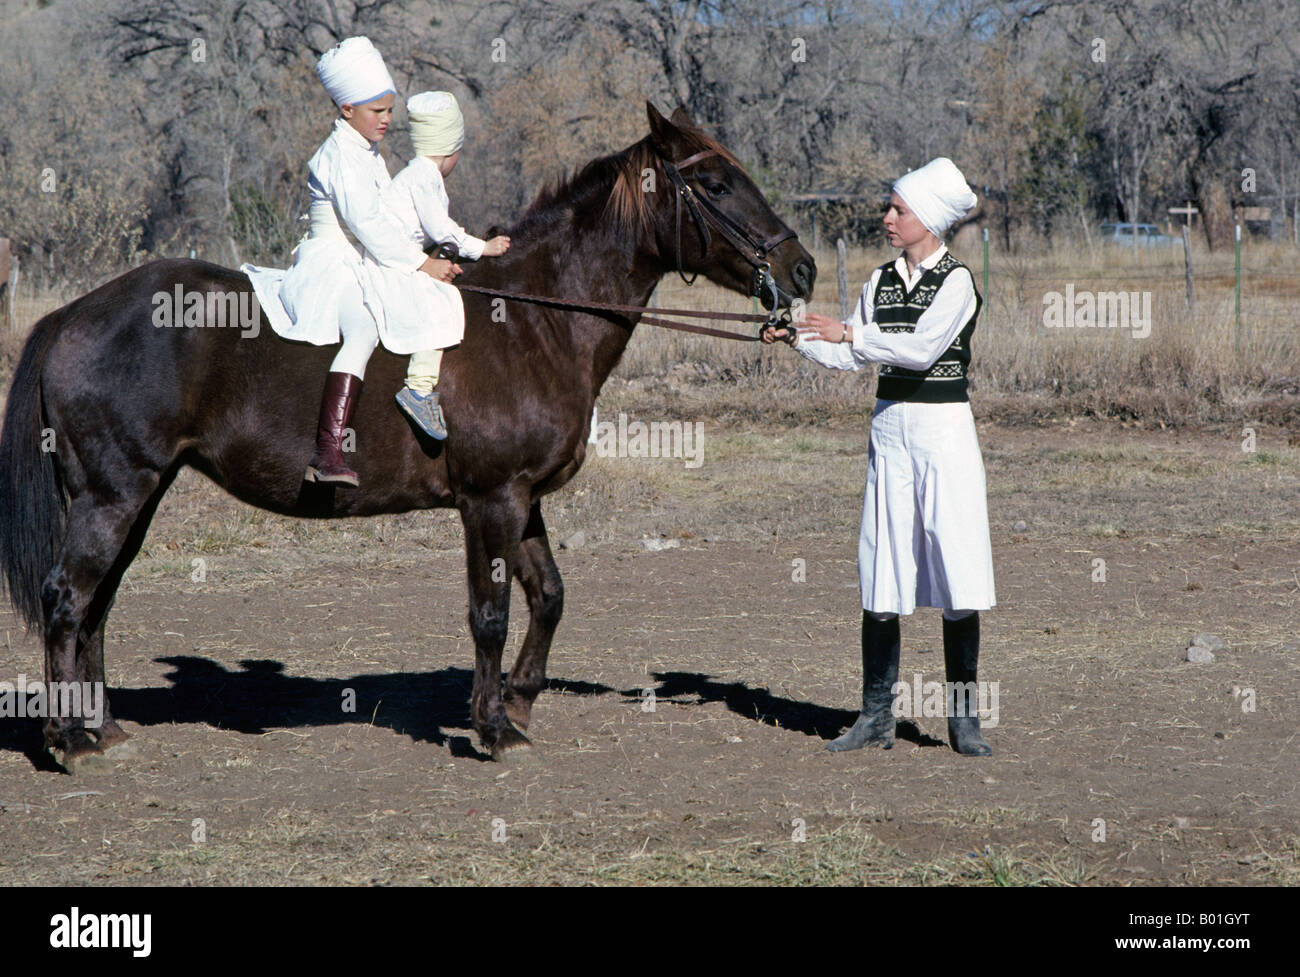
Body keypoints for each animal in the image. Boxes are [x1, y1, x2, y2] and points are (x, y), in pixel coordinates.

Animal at [0, 103, 815, 771]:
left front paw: (520, 700)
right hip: (113, 495)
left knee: (97, 602)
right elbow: (490, 614)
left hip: (136, 495)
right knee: (67, 596)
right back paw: (70, 741)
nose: (801, 269)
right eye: (714, 185)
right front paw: (493, 727)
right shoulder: (490, 502)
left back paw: (102, 728)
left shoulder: (523, 499)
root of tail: (74, 314)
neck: (534, 321)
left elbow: (549, 596)